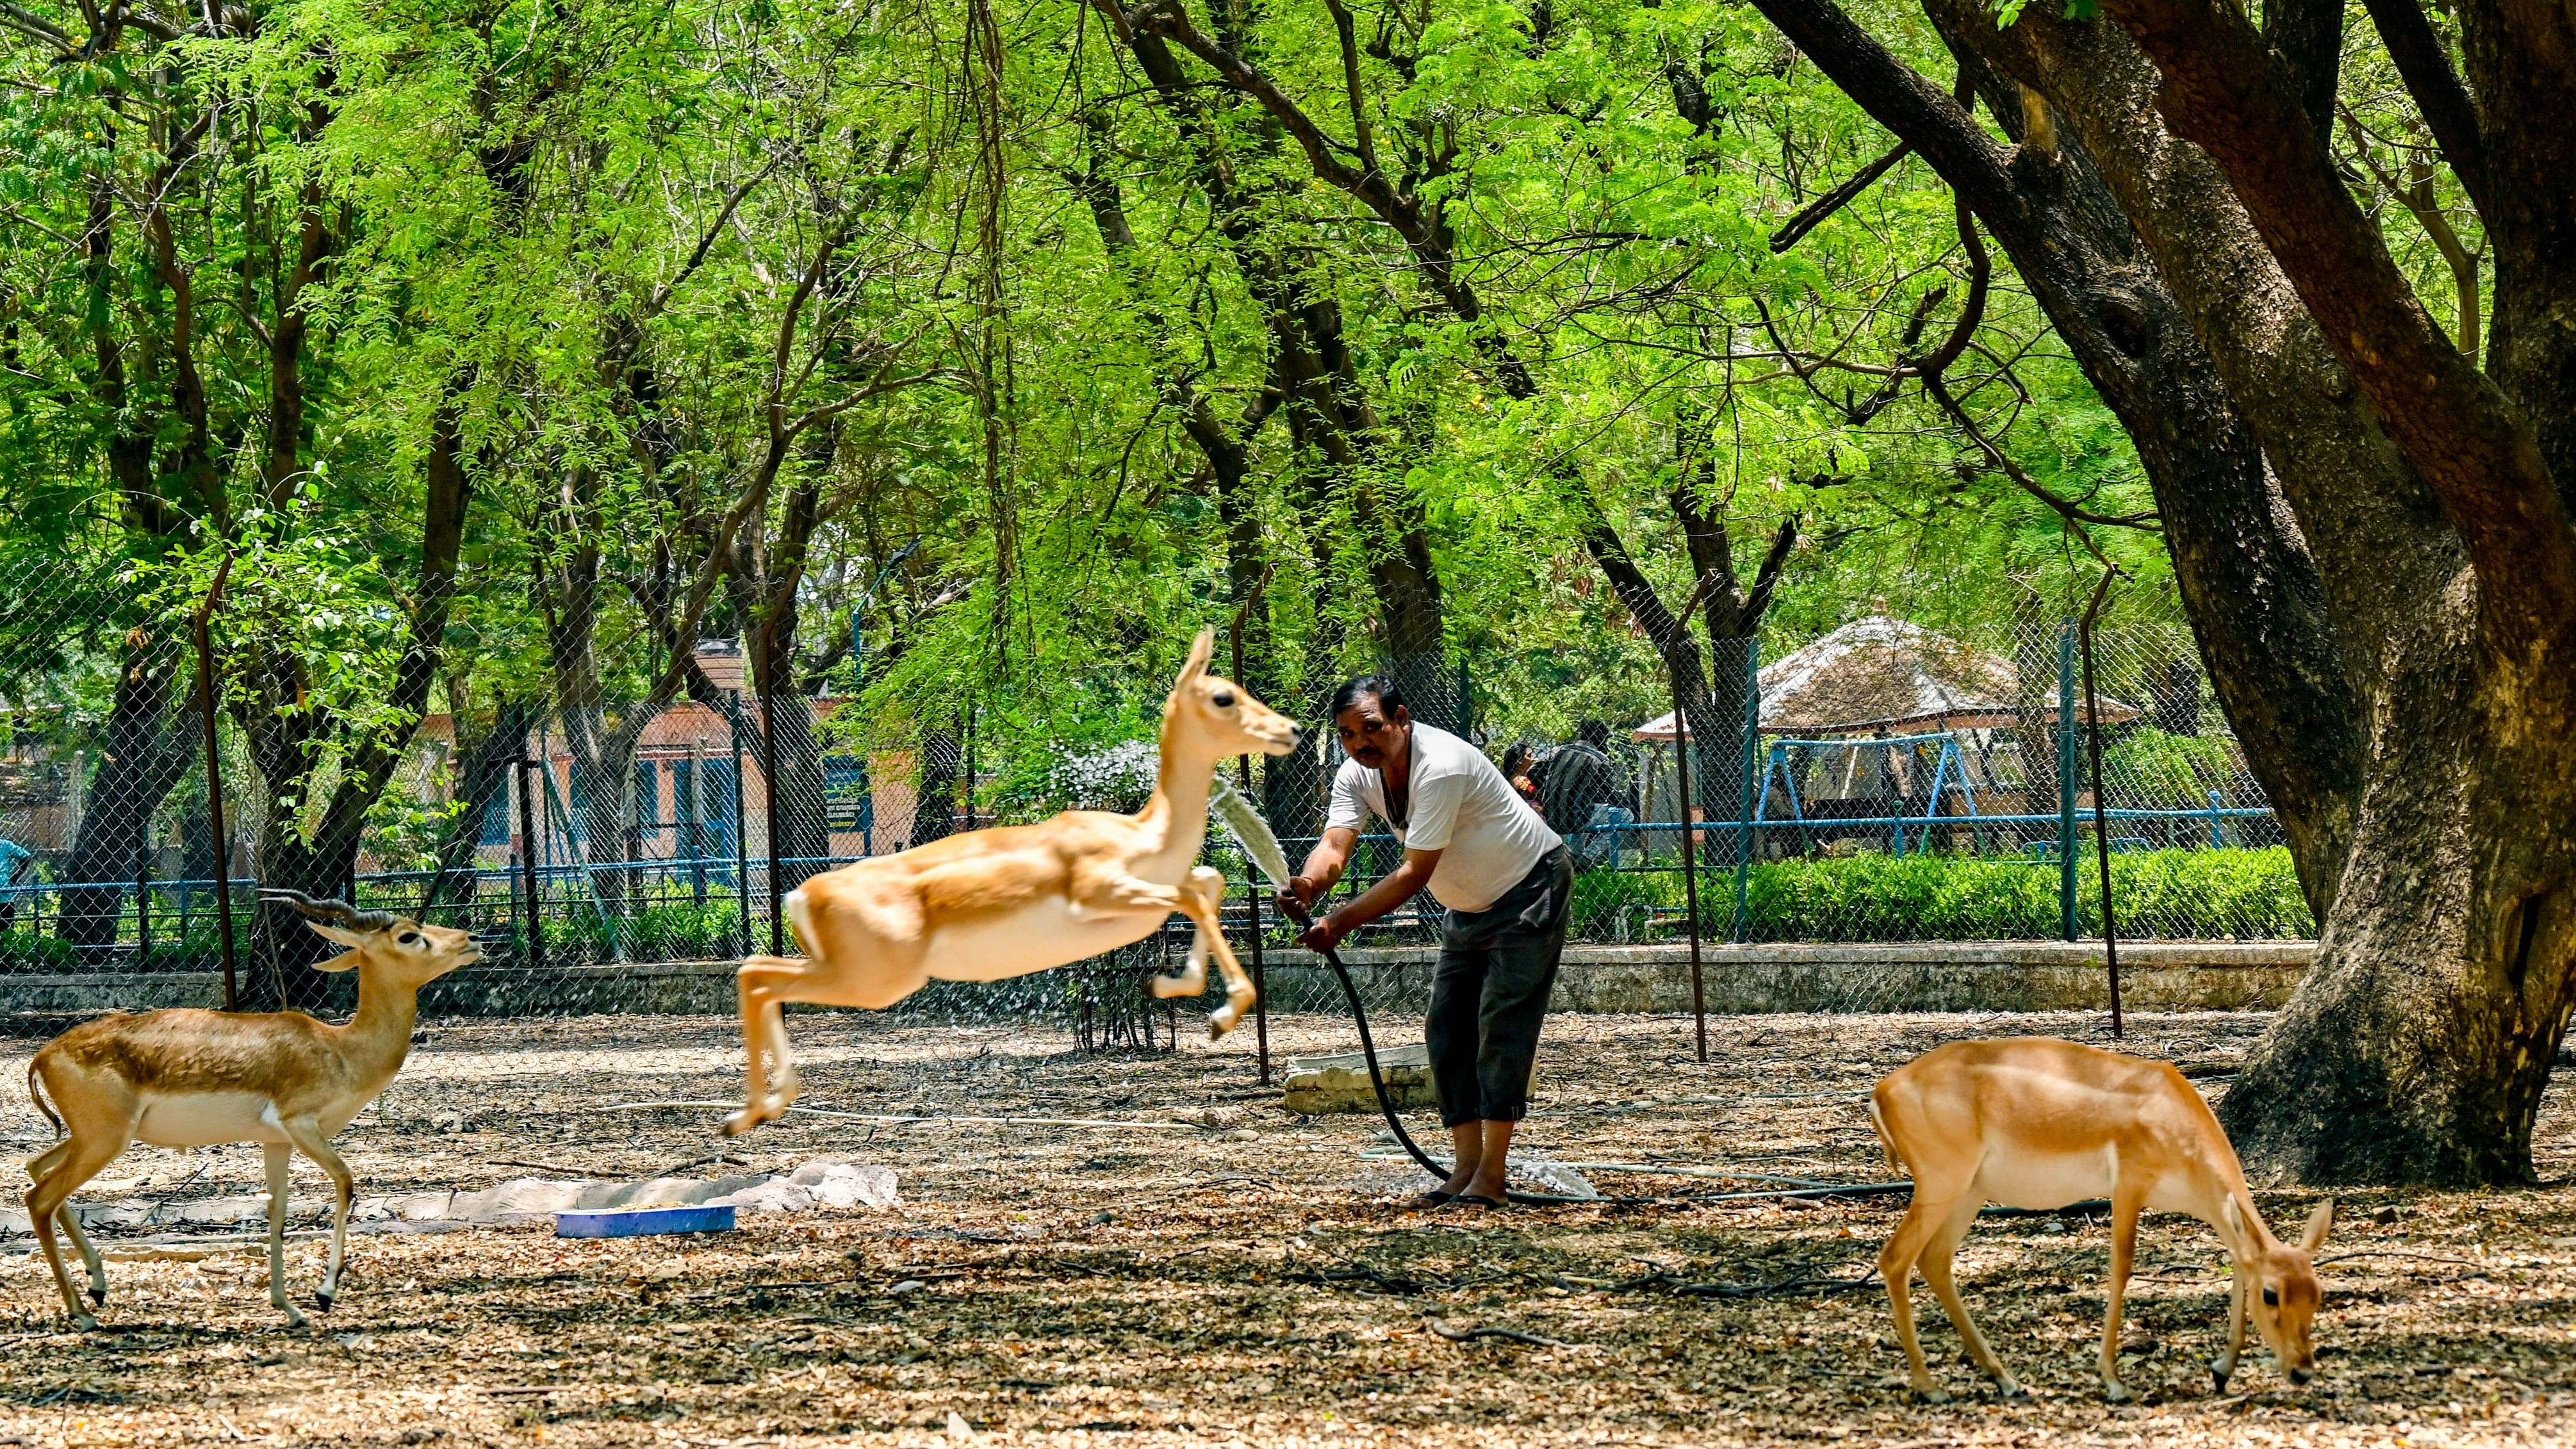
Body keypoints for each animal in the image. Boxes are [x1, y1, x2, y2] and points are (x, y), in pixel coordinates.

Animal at [25, 896, 481, 1338]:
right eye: (408, 936)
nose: (472, 939)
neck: (340, 1049)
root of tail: (44, 1055)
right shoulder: (302, 1126)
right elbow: (347, 1182)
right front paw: (325, 1293)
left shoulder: (276, 1142)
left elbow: (277, 1216)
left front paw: (290, 1309)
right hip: (105, 1140)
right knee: (40, 1198)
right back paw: (82, 1313)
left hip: (92, 1138)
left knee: (36, 1167)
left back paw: (97, 1285)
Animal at [726, 630, 1298, 1137]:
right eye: (1223, 695)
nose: (1290, 730)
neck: (1145, 833)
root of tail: (801, 895)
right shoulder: (1099, 893)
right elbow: (1192, 897)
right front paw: (1219, 1014)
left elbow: (1207, 883)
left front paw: (1170, 987)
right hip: (874, 979)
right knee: (758, 977)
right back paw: (751, 1111)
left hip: (852, 971)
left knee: (755, 972)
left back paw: (754, 1112)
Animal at [1875, 1045, 2339, 1410]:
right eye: (2271, 1294)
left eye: (2317, 1294)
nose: (2301, 1371)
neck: (2174, 1118)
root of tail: (1882, 1091)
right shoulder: (2129, 1183)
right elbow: (2121, 1267)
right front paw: (2114, 1381)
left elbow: (2237, 1259)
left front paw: (2221, 1370)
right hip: (1942, 1184)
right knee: (1895, 1258)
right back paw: (1930, 1387)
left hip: (1968, 1193)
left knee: (1934, 1261)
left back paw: (2007, 1381)